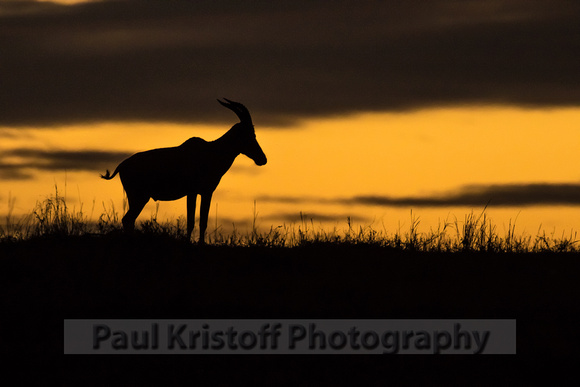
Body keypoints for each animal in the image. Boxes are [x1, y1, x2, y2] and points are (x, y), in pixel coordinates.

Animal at [101, 98, 268, 244]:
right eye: (250, 134)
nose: (262, 159)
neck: (210, 152)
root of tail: (122, 165)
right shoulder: (192, 192)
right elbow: (191, 221)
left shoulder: (206, 193)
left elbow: (203, 221)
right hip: (139, 197)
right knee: (127, 219)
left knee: (129, 220)